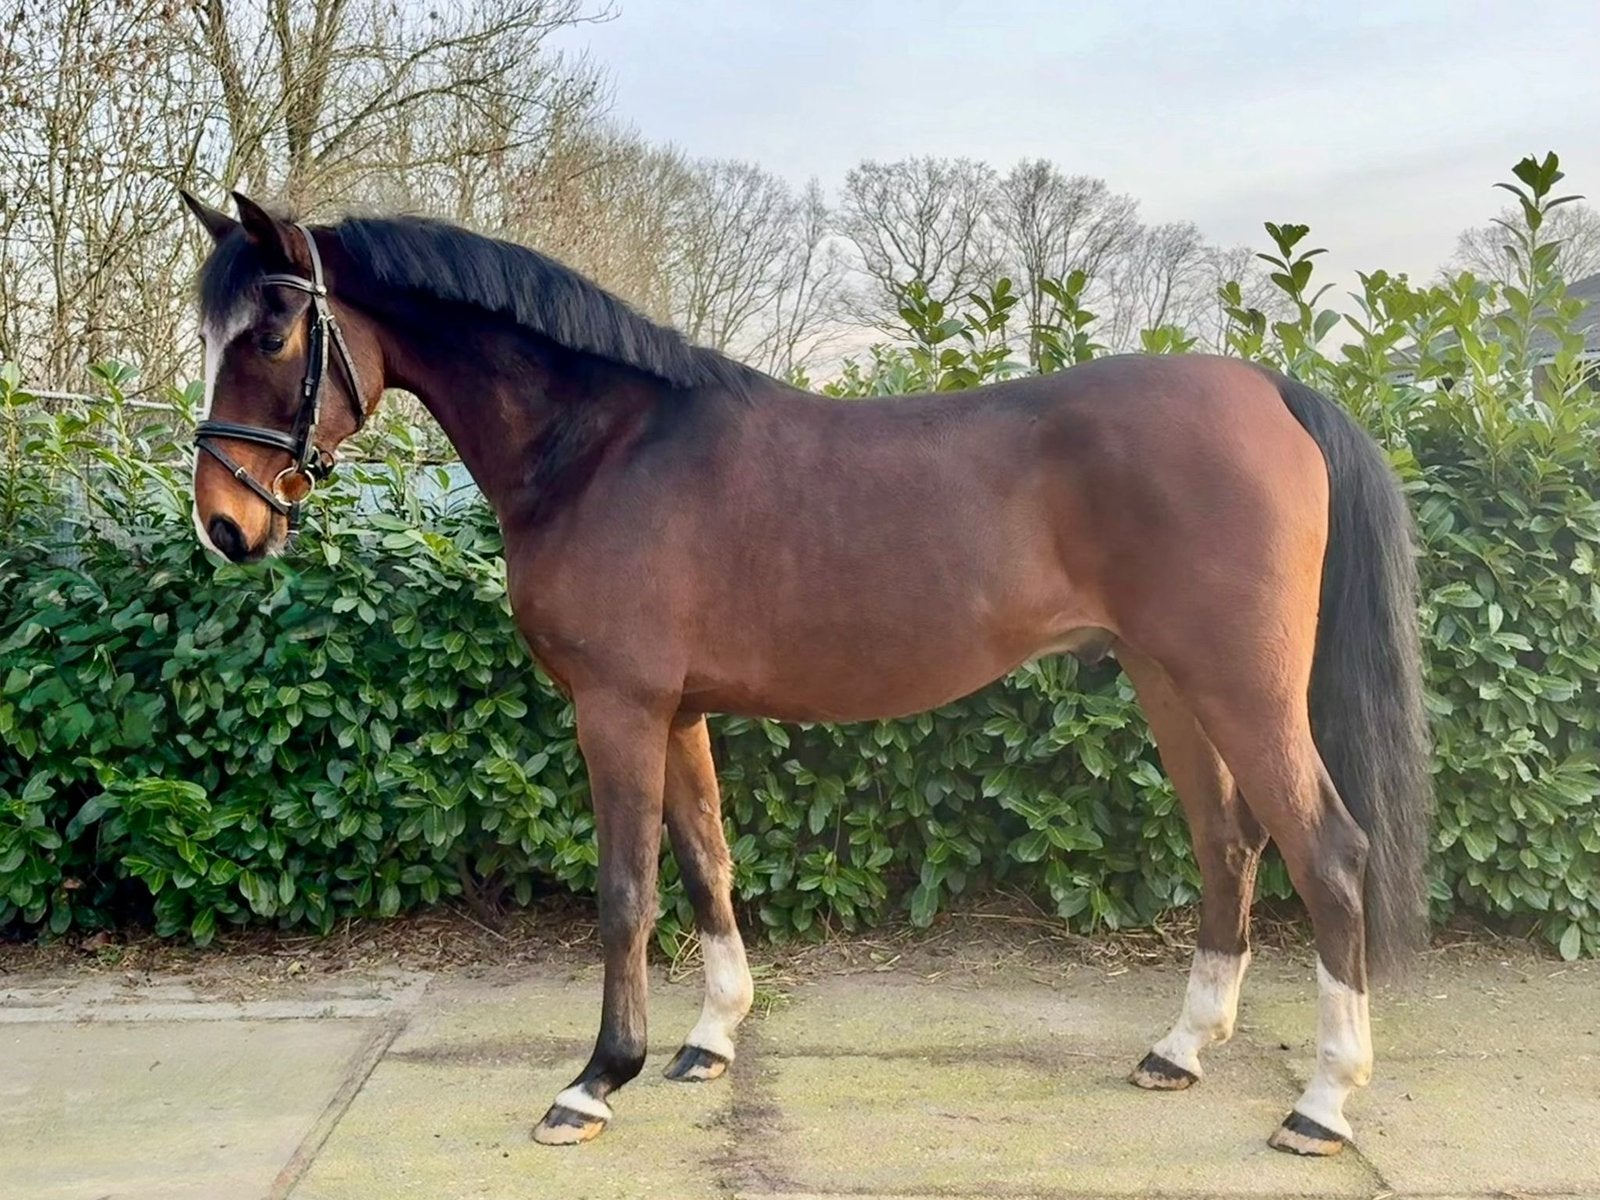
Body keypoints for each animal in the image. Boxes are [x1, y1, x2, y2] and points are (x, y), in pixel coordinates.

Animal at [179, 190, 1431, 1157]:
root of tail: (1273, 392)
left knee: (1329, 851)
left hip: (1240, 685)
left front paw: (594, 1081)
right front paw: (708, 1040)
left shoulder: (617, 709)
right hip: (1169, 681)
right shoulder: (675, 712)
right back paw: (1179, 1048)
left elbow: (626, 892)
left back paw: (1322, 1105)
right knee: (1230, 842)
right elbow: (707, 864)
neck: (604, 446)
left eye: (271, 338)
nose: (225, 527)